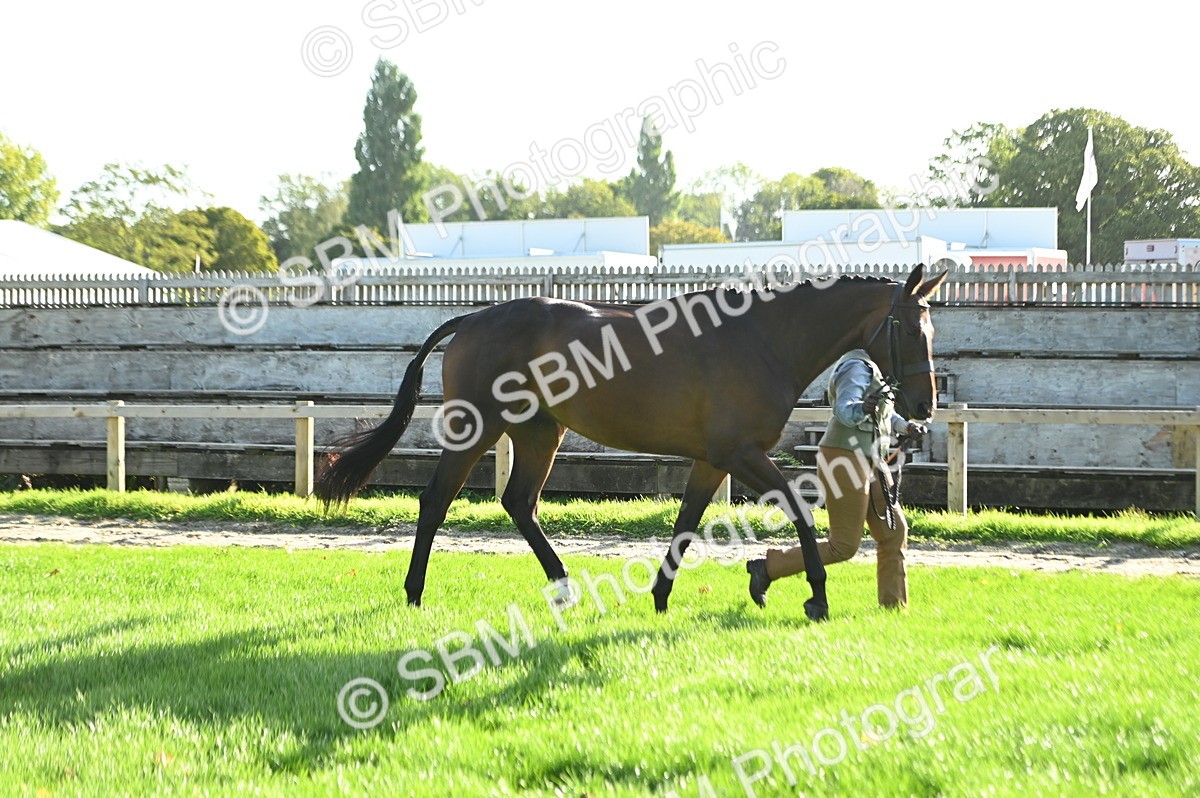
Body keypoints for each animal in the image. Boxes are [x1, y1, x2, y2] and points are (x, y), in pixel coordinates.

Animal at [315, 264, 948, 621]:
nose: (923, 408)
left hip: (540, 431)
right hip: (480, 427)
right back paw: (415, 592)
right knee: (436, 501)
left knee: (519, 503)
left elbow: (687, 523)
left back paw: (564, 588)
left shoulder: (712, 461)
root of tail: (472, 319)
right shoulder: (740, 454)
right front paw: (815, 596)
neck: (764, 339)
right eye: (910, 327)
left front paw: (664, 597)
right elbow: (798, 510)